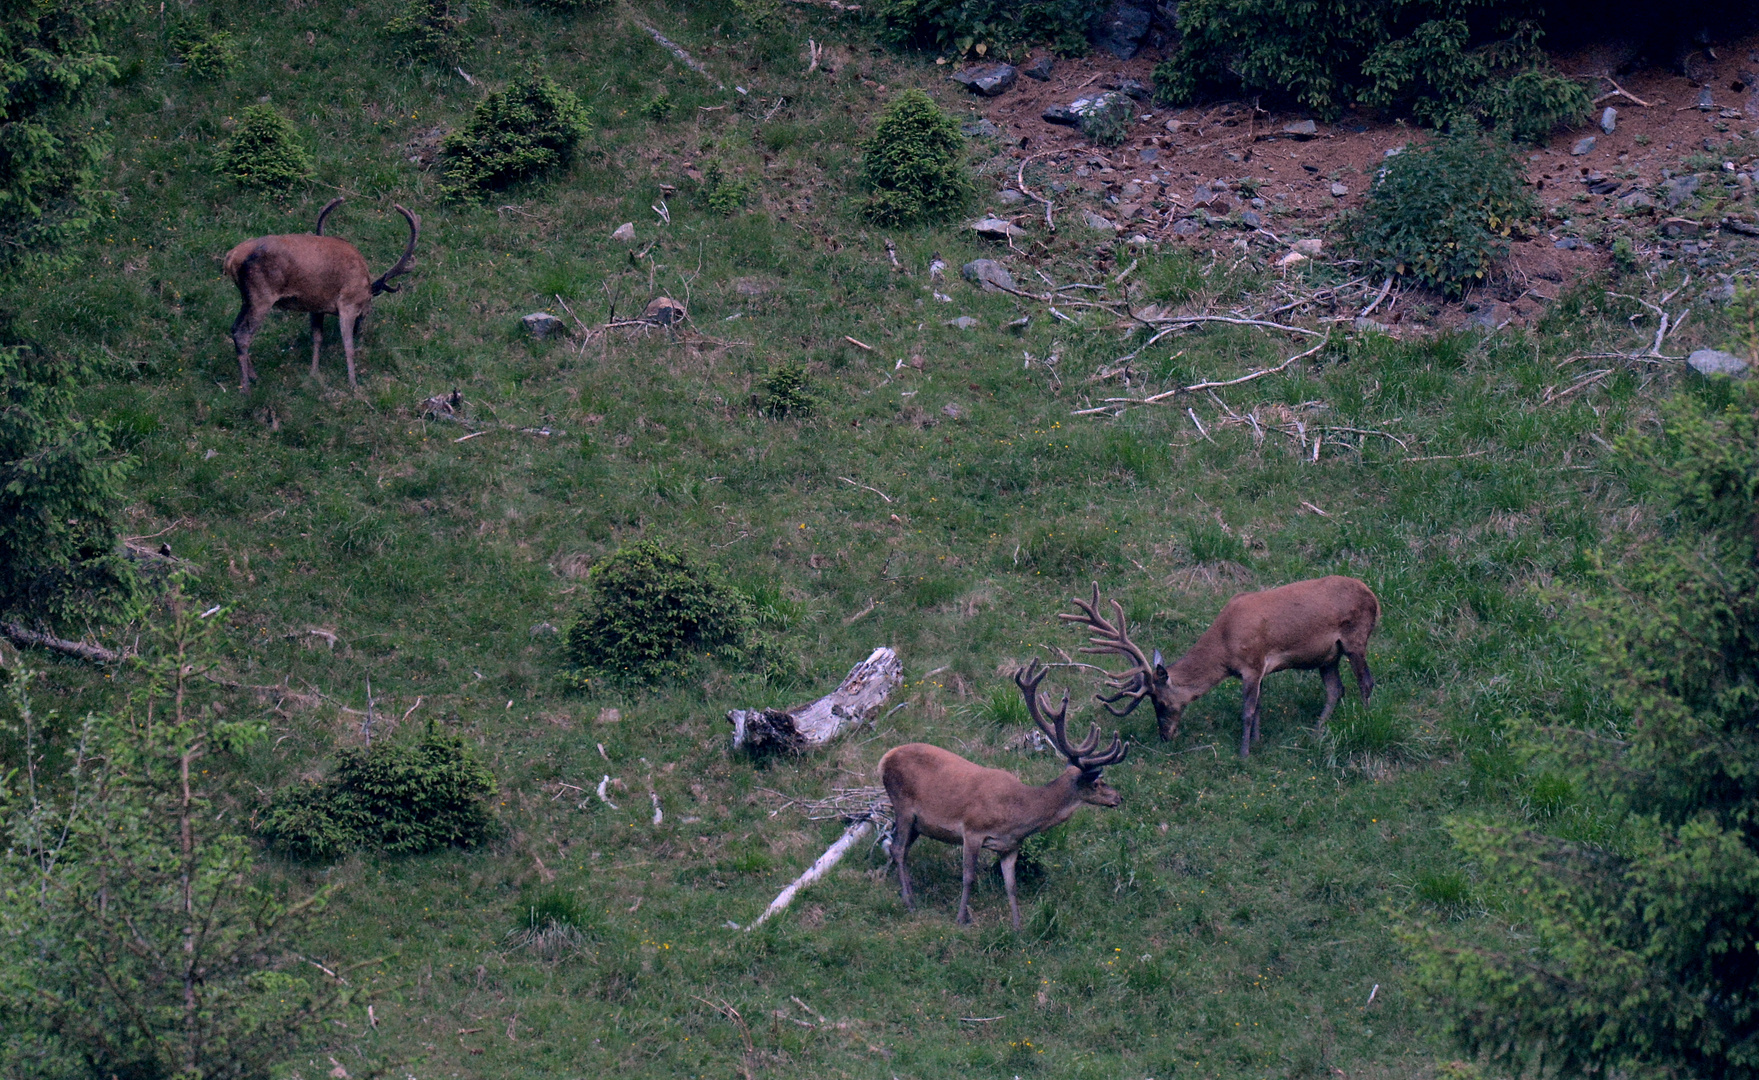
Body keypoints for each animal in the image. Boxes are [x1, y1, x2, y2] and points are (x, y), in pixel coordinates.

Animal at [223, 199, 418, 394]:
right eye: (368, 308)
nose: (360, 328)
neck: (365, 286)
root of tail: (230, 258)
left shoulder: (316, 306)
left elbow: (317, 338)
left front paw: (313, 373)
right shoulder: (348, 303)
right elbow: (348, 345)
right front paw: (353, 384)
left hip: (246, 298)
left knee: (234, 328)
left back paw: (253, 376)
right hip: (261, 295)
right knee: (243, 333)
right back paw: (246, 387)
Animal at [875, 661, 1125, 928]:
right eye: (1098, 782)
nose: (1118, 797)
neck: (1019, 813)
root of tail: (884, 759)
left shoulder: (1010, 847)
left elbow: (1011, 886)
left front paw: (1018, 926)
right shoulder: (972, 829)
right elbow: (969, 876)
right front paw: (961, 918)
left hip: (918, 823)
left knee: (898, 847)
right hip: (902, 803)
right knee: (898, 848)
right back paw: (909, 901)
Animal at [1062, 576, 1379, 763]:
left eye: (1161, 702)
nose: (1165, 735)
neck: (1224, 647)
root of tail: (1374, 597)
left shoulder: (1252, 663)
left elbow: (1247, 711)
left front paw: (1243, 754)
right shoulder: (1257, 670)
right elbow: (1259, 706)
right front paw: (1258, 743)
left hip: (1355, 637)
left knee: (1365, 681)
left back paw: (1364, 718)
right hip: (1328, 656)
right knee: (1336, 689)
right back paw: (1315, 731)